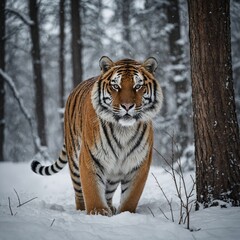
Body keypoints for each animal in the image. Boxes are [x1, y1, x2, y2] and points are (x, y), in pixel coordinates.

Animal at [31, 56, 163, 216]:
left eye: (138, 86)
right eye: (116, 86)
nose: (127, 106)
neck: (123, 130)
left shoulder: (139, 164)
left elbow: (131, 197)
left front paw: (125, 213)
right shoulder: (90, 158)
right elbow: (92, 190)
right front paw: (98, 212)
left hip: (114, 171)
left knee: (108, 190)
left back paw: (110, 207)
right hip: (74, 159)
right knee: (79, 192)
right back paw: (82, 209)